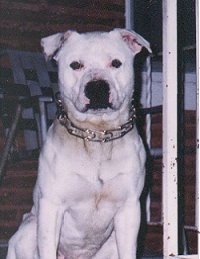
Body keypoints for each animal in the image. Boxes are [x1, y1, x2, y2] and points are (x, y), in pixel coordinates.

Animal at [6, 29, 150, 259]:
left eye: (116, 63)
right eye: (75, 65)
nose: (97, 86)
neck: (97, 134)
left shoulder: (129, 210)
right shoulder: (51, 207)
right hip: (29, 229)